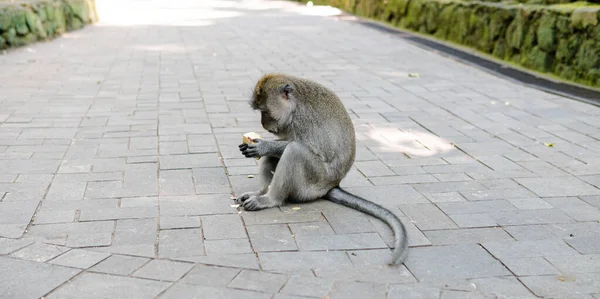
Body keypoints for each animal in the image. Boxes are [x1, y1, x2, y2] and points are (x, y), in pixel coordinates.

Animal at [234, 74, 408, 266]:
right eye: (260, 111)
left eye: (265, 110)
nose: (264, 125)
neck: (295, 106)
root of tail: (332, 185)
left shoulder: (303, 120)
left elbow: (303, 147)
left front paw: (264, 145)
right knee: (275, 156)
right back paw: (261, 192)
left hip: (313, 183)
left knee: (294, 151)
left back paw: (270, 199)